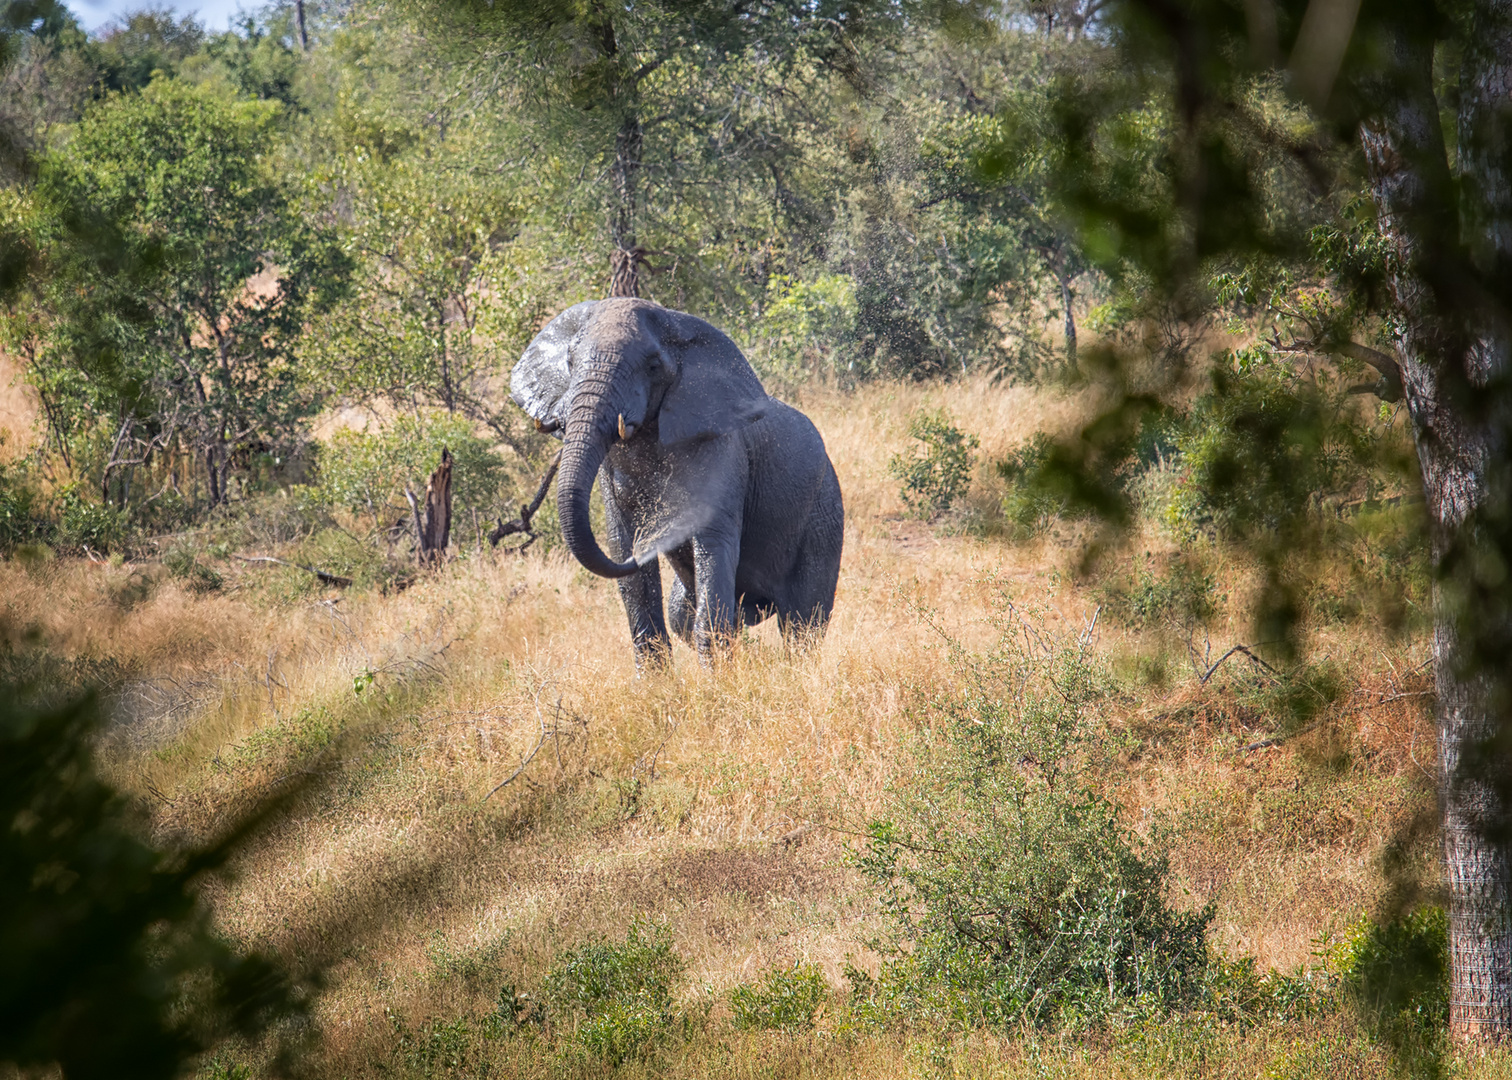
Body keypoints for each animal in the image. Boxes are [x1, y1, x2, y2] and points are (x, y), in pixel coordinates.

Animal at [505, 297, 840, 659]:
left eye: (652, 366)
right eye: (569, 361)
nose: (649, 541)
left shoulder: (722, 448)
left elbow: (712, 540)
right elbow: (622, 545)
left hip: (823, 513)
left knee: (802, 623)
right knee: (681, 611)